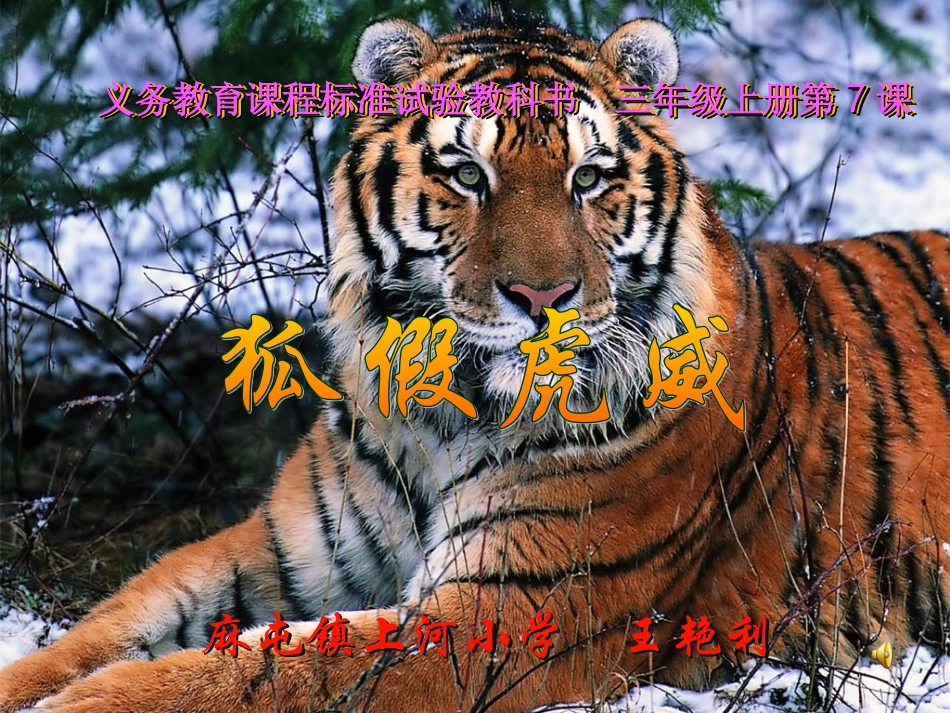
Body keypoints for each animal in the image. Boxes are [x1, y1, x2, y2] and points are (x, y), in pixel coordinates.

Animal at [1, 13, 948, 713]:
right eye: (465, 172)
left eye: (589, 177)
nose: (545, 295)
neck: (441, 410)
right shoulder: (281, 551)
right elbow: (109, 625)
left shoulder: (503, 606)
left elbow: (263, 674)